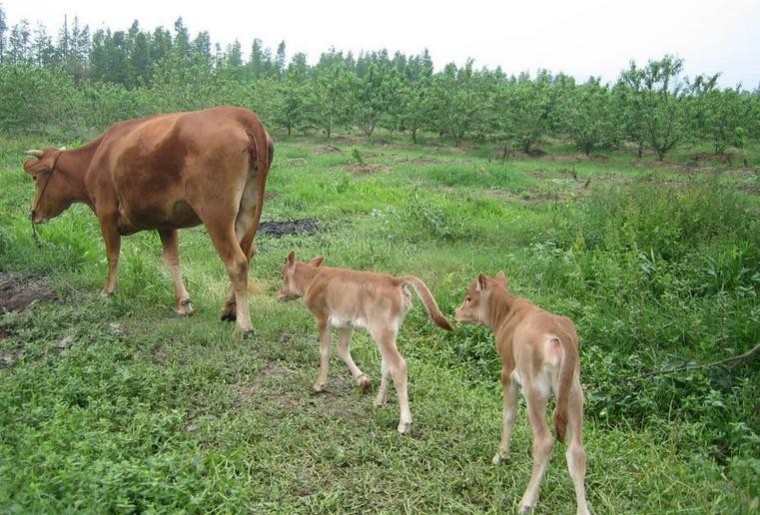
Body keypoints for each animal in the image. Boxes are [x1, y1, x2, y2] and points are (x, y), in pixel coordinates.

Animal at [21, 107, 274, 336]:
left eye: (35, 178)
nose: (33, 213)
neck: (95, 158)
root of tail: (240, 114)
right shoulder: (166, 222)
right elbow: (172, 260)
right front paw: (183, 304)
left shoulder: (106, 213)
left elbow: (112, 255)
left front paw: (108, 291)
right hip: (249, 209)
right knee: (248, 251)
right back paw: (229, 310)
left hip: (216, 213)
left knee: (236, 261)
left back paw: (243, 326)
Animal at [278, 252, 452, 434]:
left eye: (282, 275)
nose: (279, 294)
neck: (312, 278)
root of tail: (395, 280)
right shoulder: (346, 324)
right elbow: (342, 349)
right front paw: (363, 380)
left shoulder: (322, 318)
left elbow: (325, 350)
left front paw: (319, 384)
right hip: (389, 332)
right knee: (386, 365)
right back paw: (379, 401)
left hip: (381, 331)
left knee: (398, 365)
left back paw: (404, 423)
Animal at [454, 272, 592, 512]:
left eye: (469, 298)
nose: (455, 312)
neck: (507, 312)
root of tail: (560, 334)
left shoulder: (507, 372)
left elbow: (509, 415)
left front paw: (501, 456)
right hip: (574, 393)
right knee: (576, 451)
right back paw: (582, 510)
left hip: (535, 390)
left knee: (544, 441)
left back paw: (527, 502)